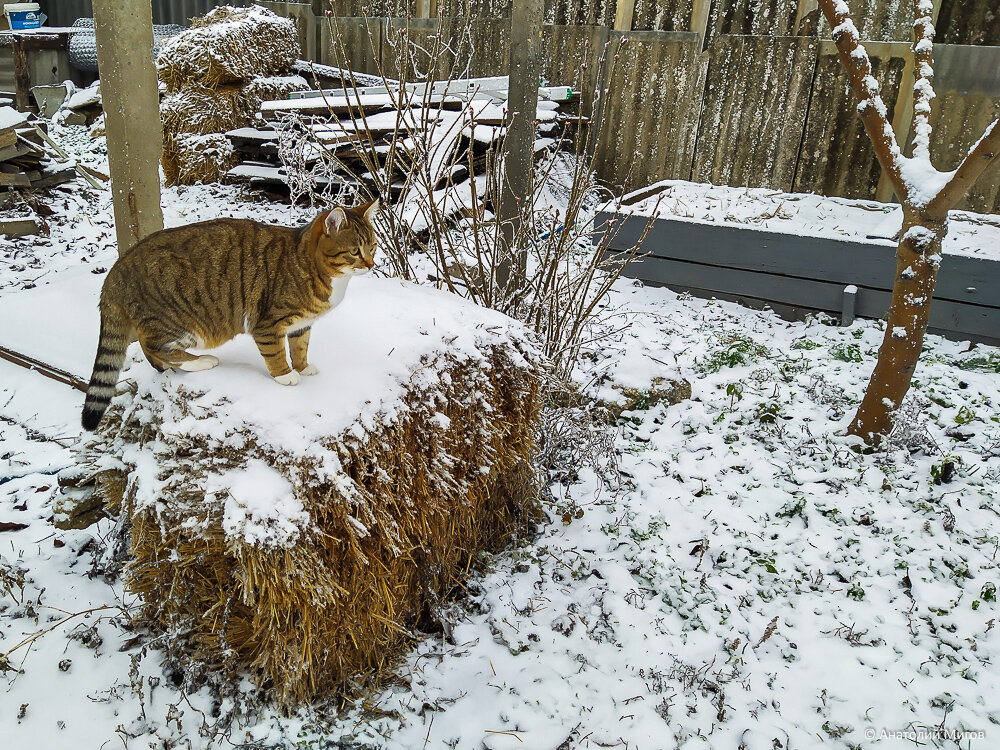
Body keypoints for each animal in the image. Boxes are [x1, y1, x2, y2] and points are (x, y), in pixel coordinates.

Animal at [81, 200, 378, 432]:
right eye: (355, 251)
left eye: (373, 247)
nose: (371, 265)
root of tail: (115, 271)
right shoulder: (268, 323)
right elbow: (276, 353)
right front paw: (285, 375)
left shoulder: (301, 325)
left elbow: (300, 347)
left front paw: (303, 367)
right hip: (179, 321)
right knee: (153, 348)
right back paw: (200, 362)